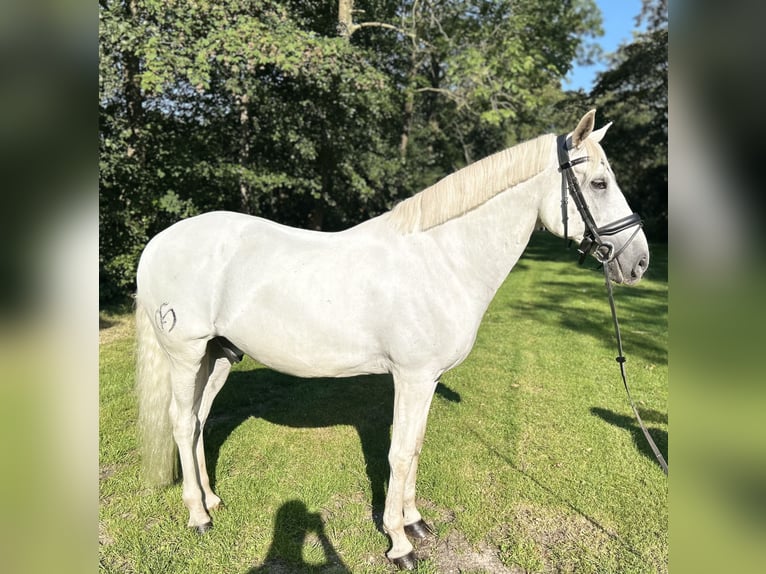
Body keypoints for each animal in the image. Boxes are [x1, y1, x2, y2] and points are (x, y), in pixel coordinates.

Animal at [136, 110, 648, 568]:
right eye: (599, 184)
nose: (638, 262)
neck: (442, 259)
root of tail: (158, 242)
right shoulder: (412, 377)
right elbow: (399, 454)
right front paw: (400, 544)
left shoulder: (427, 380)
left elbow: (415, 446)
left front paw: (416, 522)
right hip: (186, 355)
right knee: (181, 423)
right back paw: (199, 517)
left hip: (218, 356)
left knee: (198, 421)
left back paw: (213, 500)